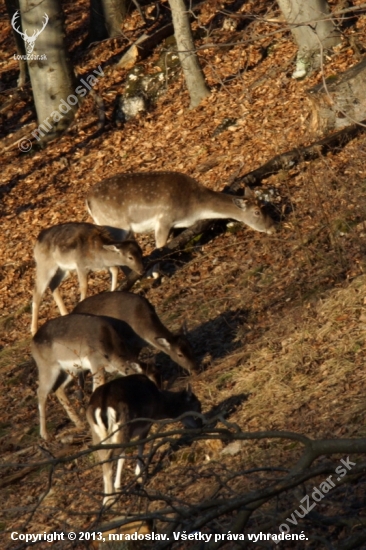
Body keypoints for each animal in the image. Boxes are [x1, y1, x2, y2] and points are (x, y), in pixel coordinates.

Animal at [31, 312, 143, 442]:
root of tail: (32, 342)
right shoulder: (96, 365)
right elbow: (96, 389)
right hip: (48, 368)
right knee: (41, 392)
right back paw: (45, 435)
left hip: (72, 370)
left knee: (58, 389)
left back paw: (79, 424)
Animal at [86, 171, 274, 249]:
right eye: (256, 212)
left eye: (264, 205)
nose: (272, 227)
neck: (193, 208)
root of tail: (87, 200)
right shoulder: (164, 219)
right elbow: (159, 248)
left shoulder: (172, 226)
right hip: (116, 226)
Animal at [86, 378, 203, 506]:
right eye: (198, 405)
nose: (201, 425)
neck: (159, 405)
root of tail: (102, 406)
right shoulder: (146, 424)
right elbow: (140, 445)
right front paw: (140, 475)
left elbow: (122, 457)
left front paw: (118, 485)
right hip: (123, 426)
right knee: (109, 458)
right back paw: (109, 501)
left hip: (98, 434)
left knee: (104, 459)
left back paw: (107, 498)